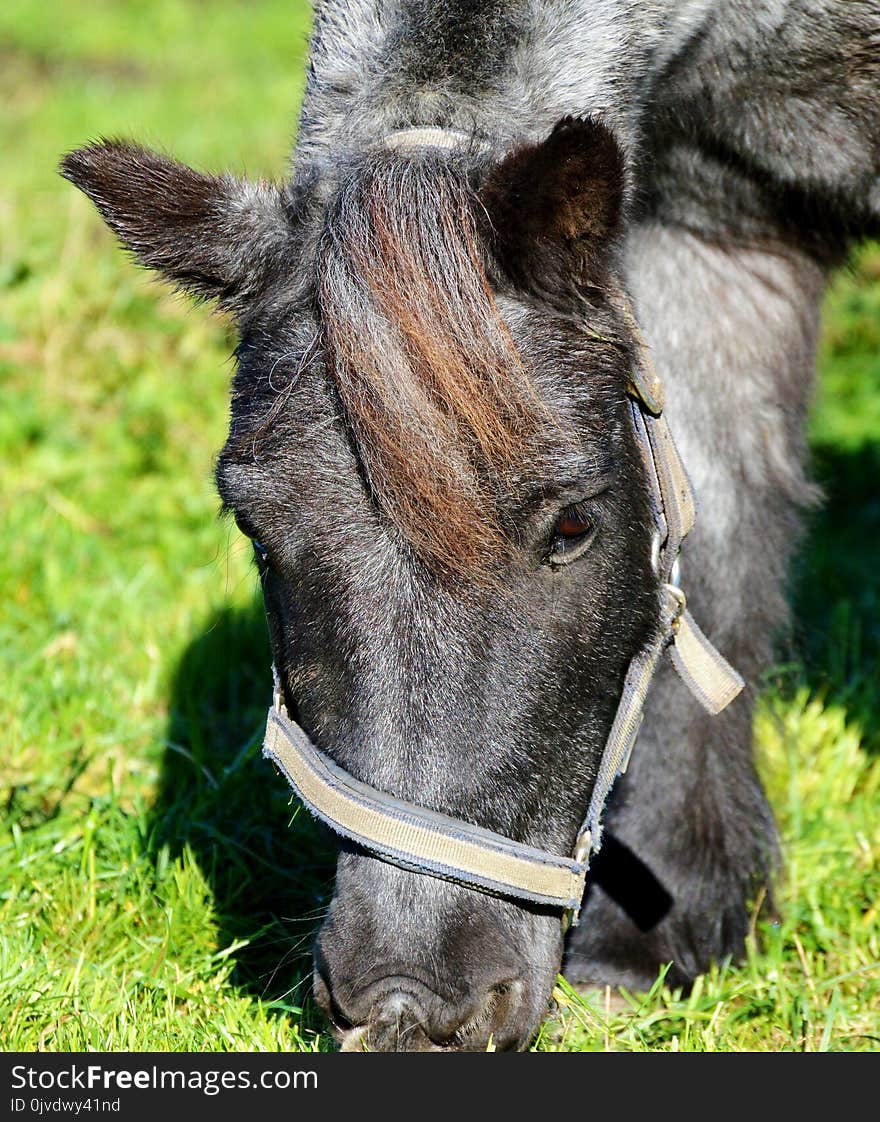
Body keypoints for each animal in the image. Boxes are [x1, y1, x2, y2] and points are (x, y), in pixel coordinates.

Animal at [61, 2, 879, 1050]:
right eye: (252, 526)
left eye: (573, 525)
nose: (408, 1006)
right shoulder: (723, 225)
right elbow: (724, 544)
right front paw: (661, 934)